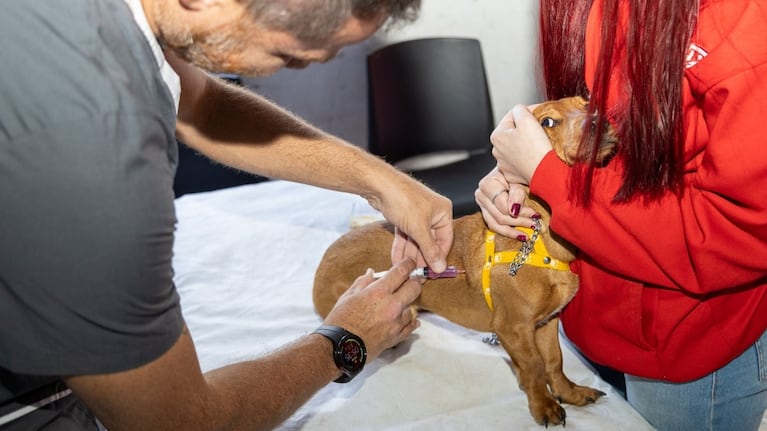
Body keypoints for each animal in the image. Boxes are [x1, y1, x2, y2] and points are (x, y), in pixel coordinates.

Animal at [312, 95, 616, 428]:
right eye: (547, 121)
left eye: (587, 102)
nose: (601, 119)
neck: (539, 242)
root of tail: (326, 256)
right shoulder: (514, 329)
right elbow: (535, 366)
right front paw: (543, 404)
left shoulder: (547, 323)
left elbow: (554, 361)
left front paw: (569, 393)